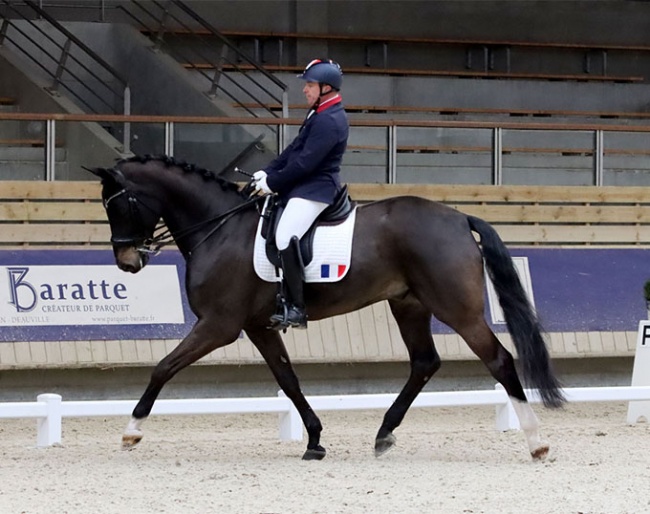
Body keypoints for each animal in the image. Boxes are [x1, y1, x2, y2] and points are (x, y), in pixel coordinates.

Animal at [87, 154, 560, 458]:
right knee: (425, 362)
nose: (127, 262)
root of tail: (460, 217)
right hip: (409, 304)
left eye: (120, 204)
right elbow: (289, 380)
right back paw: (383, 434)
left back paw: (536, 442)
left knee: (499, 359)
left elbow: (162, 367)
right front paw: (314, 440)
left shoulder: (219, 325)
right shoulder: (259, 326)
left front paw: (131, 432)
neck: (219, 228)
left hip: (456, 309)